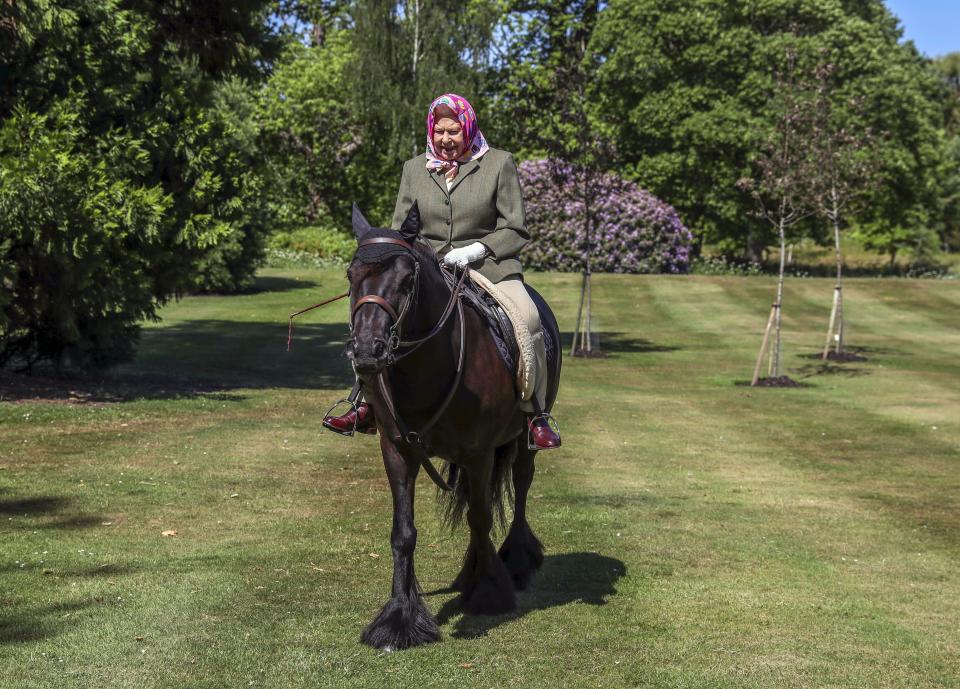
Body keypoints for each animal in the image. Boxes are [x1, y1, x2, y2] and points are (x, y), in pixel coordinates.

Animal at [348, 202, 564, 648]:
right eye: (350, 275)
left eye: (407, 278)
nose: (366, 351)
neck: (426, 365)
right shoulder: (397, 449)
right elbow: (403, 532)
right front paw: (400, 618)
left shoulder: (479, 452)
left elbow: (481, 519)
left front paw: (488, 593)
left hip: (524, 439)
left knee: (520, 487)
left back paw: (516, 561)